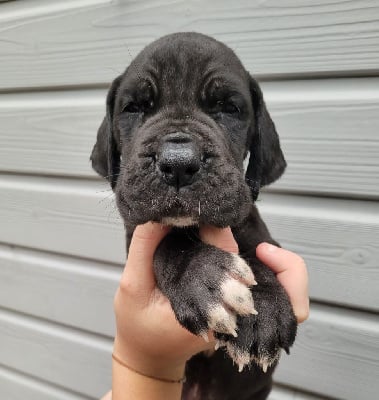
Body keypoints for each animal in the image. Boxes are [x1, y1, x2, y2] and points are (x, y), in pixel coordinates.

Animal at [91, 32, 296, 400]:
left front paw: (264, 307)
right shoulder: (137, 235)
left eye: (228, 108)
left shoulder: (256, 228)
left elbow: (257, 251)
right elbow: (167, 242)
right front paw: (205, 277)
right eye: (135, 108)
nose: (177, 163)